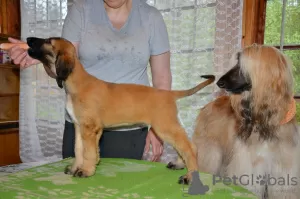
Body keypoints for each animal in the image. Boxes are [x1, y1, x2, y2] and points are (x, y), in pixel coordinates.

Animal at [24, 36, 214, 184]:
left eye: (48, 41)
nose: (28, 39)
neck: (77, 84)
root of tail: (169, 94)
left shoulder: (90, 129)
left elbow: (89, 152)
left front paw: (86, 171)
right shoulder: (79, 127)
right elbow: (79, 150)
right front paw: (75, 168)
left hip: (164, 126)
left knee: (190, 147)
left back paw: (190, 176)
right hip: (166, 127)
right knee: (184, 146)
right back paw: (179, 164)